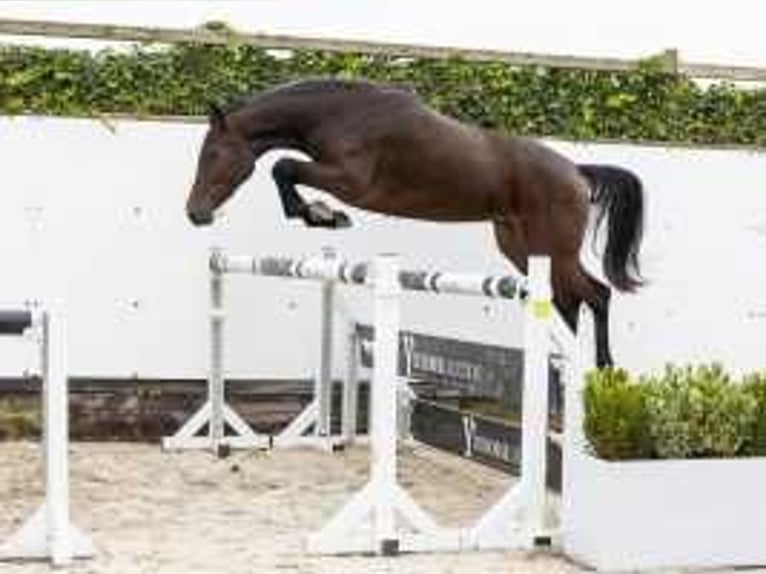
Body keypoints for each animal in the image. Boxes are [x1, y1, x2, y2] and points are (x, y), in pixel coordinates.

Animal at [188, 79, 648, 368]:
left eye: (212, 154)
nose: (194, 213)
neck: (339, 114)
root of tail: (576, 172)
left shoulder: (352, 181)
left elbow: (283, 167)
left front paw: (323, 215)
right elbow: (284, 170)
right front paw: (319, 215)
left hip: (553, 249)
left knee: (597, 294)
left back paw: (602, 367)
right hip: (522, 248)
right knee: (568, 301)